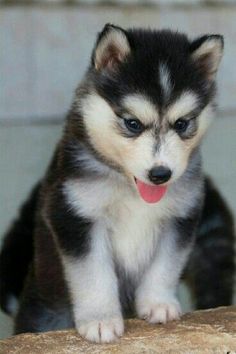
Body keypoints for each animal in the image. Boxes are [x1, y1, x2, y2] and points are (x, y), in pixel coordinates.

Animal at [0, 25, 226, 342]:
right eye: (132, 123)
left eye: (182, 124)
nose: (160, 174)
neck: (130, 189)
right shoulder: (76, 215)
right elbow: (94, 274)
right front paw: (100, 320)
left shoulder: (181, 217)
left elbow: (166, 264)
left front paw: (158, 303)